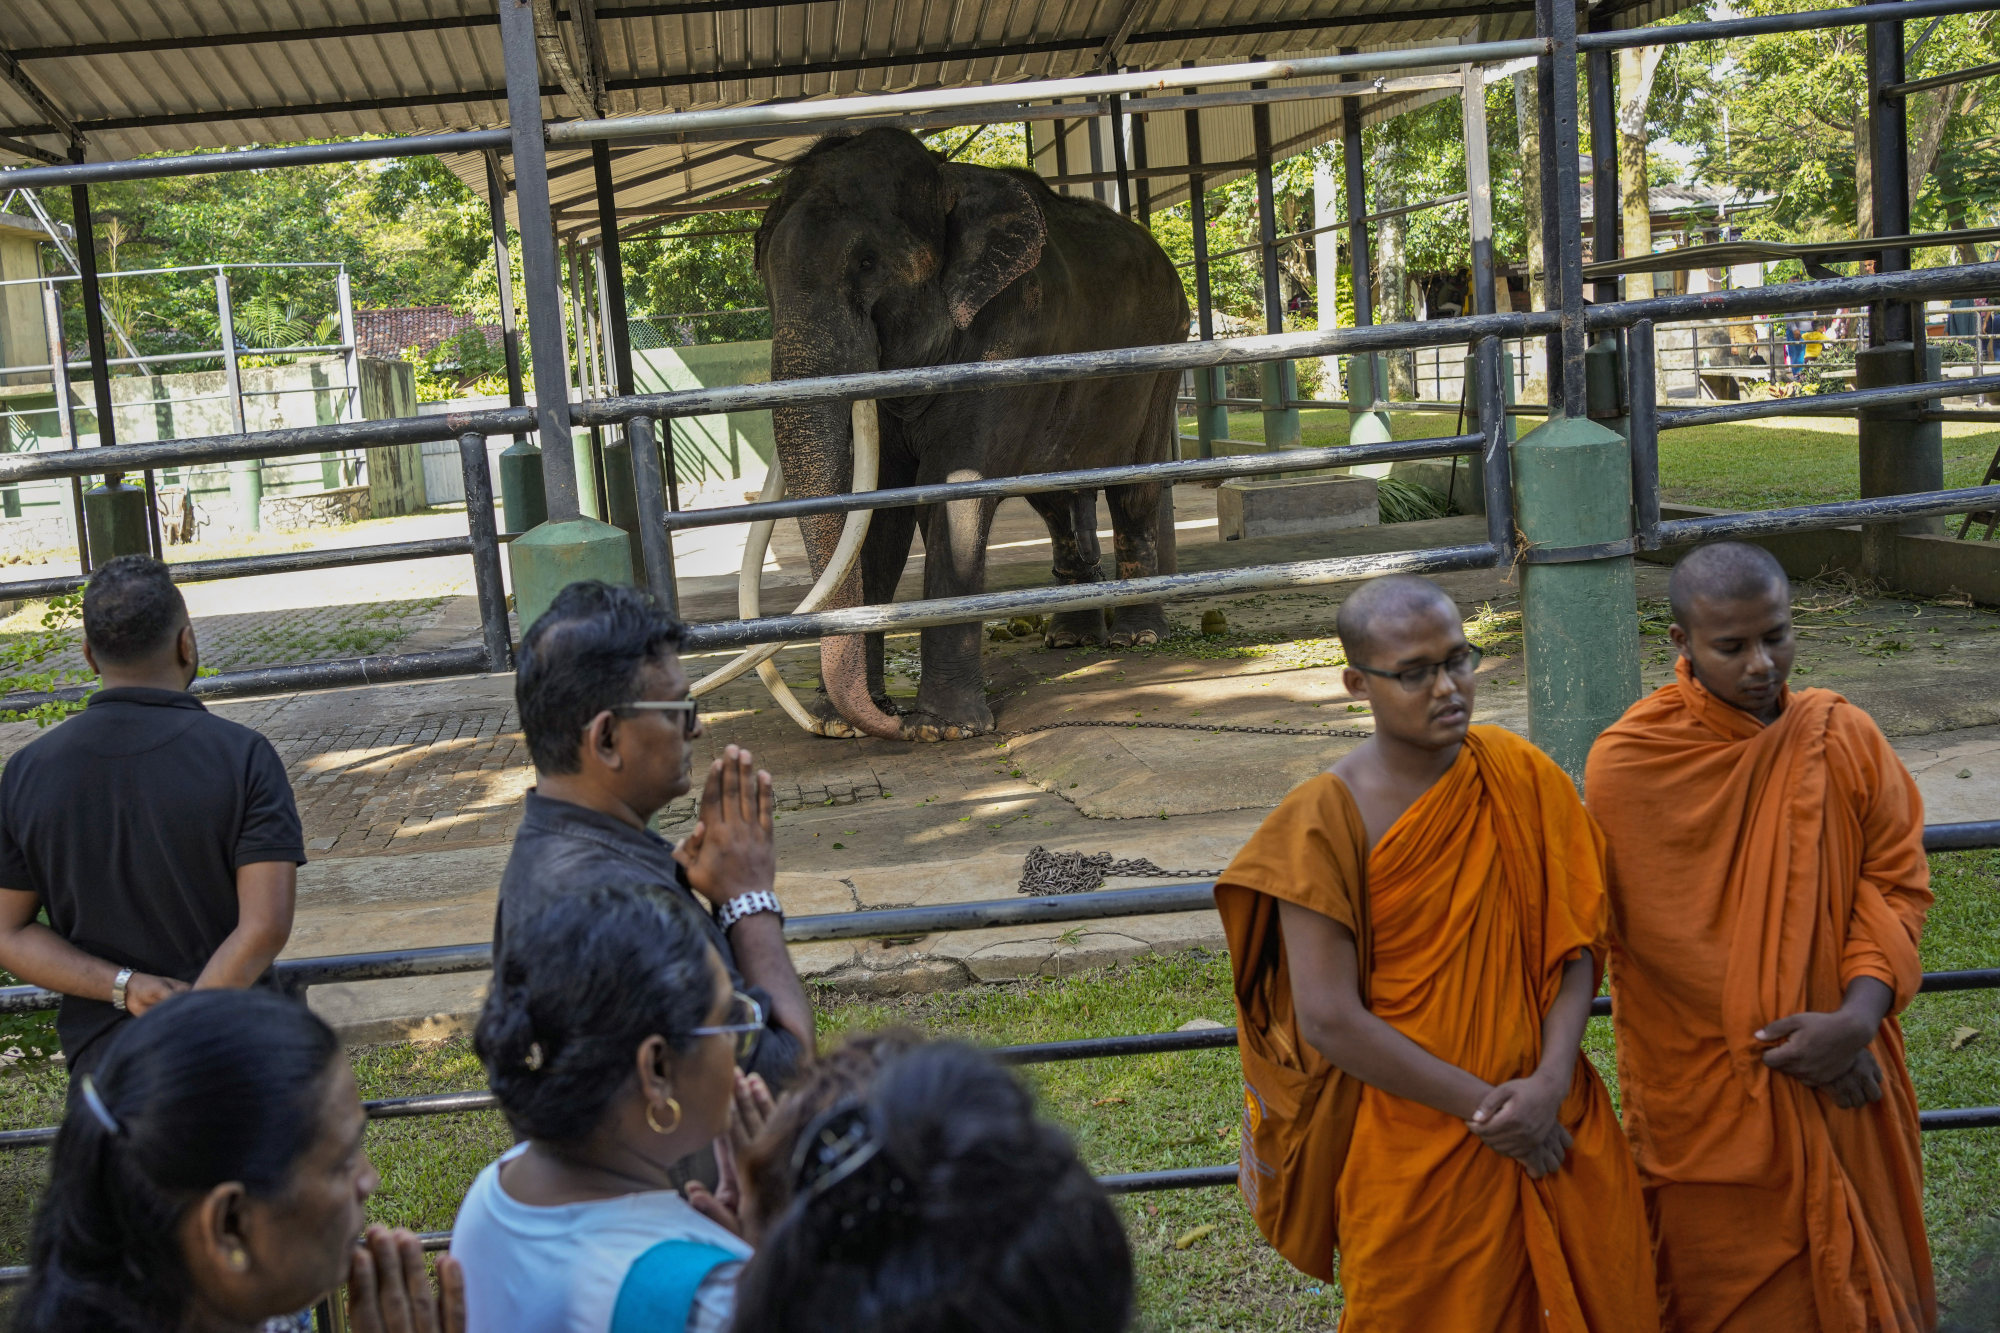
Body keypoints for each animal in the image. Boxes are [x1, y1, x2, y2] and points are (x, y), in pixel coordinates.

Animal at [752, 126, 1184, 740]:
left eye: (867, 262)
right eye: (762, 272)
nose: (892, 724)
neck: (947, 178)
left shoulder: (1009, 343)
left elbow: (953, 493)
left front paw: (944, 731)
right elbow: (879, 510)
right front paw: (850, 724)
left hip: (1163, 361)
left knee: (1134, 489)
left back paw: (1138, 636)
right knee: (1059, 499)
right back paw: (1072, 639)